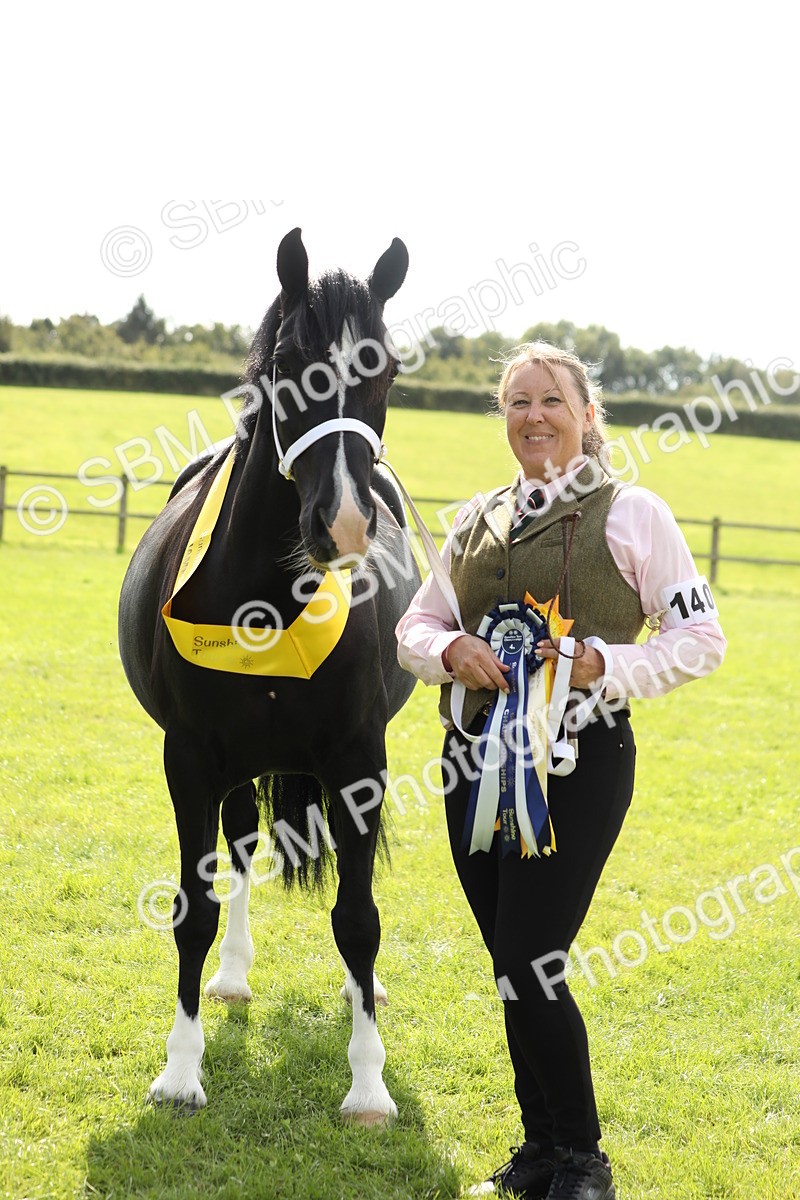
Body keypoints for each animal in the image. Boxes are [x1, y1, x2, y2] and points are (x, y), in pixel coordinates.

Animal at [118, 228, 420, 1125]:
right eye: (290, 363)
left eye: (388, 367)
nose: (346, 522)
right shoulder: (190, 761)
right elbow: (194, 910)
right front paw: (181, 1072)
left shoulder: (359, 763)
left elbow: (359, 918)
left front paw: (367, 1084)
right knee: (244, 848)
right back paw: (233, 976)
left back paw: (363, 992)